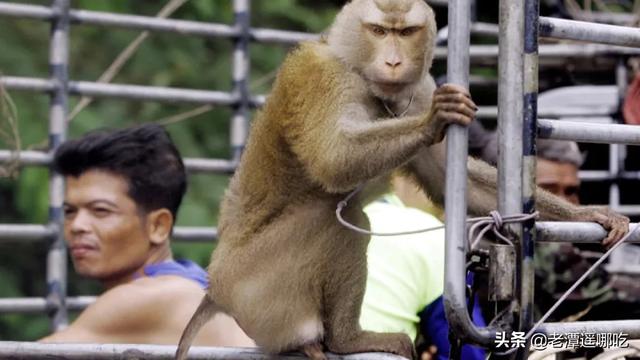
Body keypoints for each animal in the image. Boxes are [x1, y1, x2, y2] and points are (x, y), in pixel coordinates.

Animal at [175, 0, 632, 360]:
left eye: (406, 32)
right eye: (378, 31)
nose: (394, 62)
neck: (358, 71)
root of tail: (214, 289)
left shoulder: (421, 87)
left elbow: (449, 177)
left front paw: (590, 215)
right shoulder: (321, 77)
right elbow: (332, 159)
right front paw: (434, 119)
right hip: (256, 290)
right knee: (337, 219)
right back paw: (346, 340)